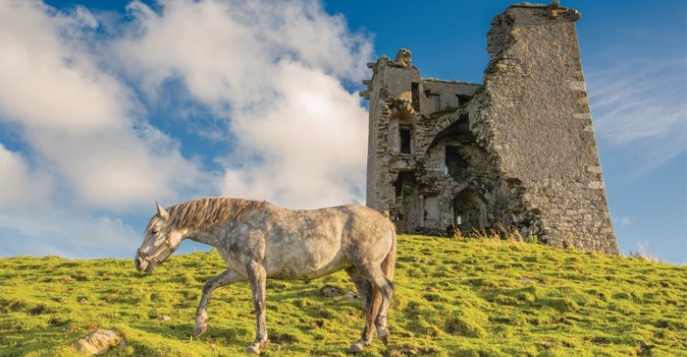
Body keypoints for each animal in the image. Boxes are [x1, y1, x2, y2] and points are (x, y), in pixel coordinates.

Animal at [135, 197, 398, 354]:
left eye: (154, 231)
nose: (139, 262)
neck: (234, 224)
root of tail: (385, 221)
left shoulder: (255, 270)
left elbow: (259, 303)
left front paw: (257, 342)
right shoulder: (237, 272)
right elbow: (208, 286)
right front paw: (200, 325)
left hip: (367, 265)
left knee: (386, 289)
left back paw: (382, 331)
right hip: (355, 269)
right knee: (369, 301)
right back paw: (362, 342)